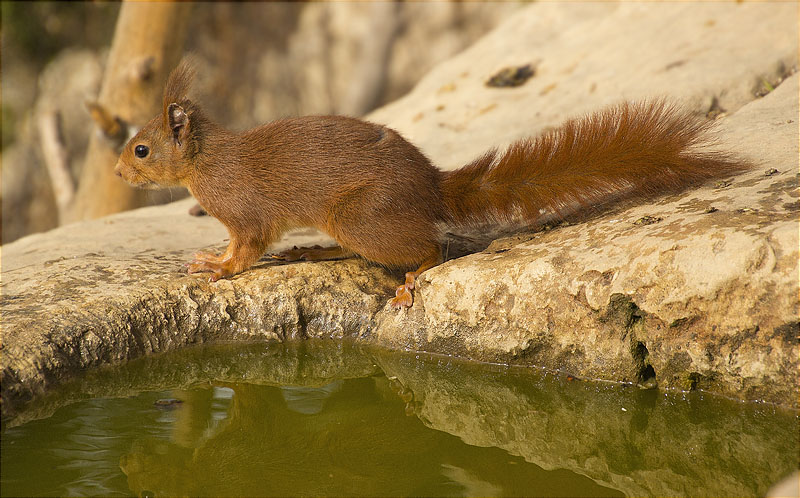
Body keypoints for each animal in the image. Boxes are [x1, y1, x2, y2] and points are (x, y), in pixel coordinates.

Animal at [112, 62, 744, 308]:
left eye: (141, 149)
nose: (117, 173)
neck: (207, 162)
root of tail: (433, 187)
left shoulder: (245, 213)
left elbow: (244, 249)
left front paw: (216, 269)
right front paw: (210, 259)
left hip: (363, 216)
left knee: (430, 247)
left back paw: (413, 277)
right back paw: (315, 249)